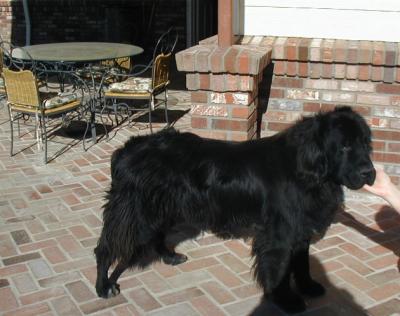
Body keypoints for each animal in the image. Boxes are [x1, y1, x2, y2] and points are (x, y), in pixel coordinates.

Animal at [94, 107, 376, 314]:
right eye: (344, 146)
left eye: (365, 143)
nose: (370, 172)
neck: (306, 168)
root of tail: (125, 149)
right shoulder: (279, 235)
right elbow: (280, 269)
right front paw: (285, 299)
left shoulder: (301, 228)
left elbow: (302, 262)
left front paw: (308, 287)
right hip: (134, 211)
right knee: (105, 248)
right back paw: (103, 287)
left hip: (163, 207)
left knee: (156, 235)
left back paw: (170, 256)